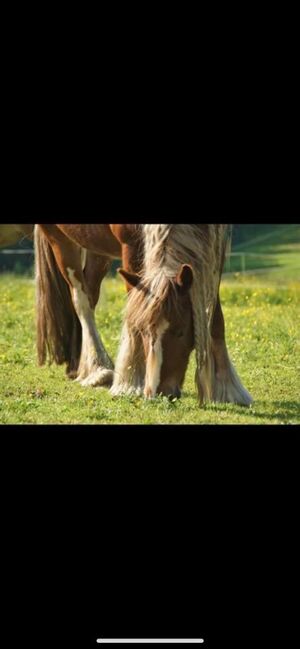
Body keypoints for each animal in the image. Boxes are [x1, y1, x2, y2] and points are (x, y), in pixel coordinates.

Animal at [111, 223, 252, 404]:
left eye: (180, 332)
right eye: (143, 331)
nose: (158, 392)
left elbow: (216, 320)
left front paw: (228, 391)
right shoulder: (128, 243)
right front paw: (129, 384)